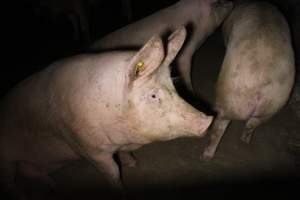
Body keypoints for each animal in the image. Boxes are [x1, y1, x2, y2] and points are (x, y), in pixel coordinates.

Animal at [0, 27, 212, 198]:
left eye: (173, 85)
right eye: (153, 95)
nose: (208, 120)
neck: (121, 131)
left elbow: (125, 152)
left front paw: (132, 164)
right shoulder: (87, 147)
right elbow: (112, 172)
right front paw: (122, 190)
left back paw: (53, 185)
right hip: (6, 161)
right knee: (9, 183)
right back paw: (24, 196)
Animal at [202, 0, 296, 160]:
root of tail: (263, 81)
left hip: (229, 94)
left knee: (219, 127)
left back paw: (206, 155)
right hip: (274, 104)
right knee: (252, 124)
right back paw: (245, 141)